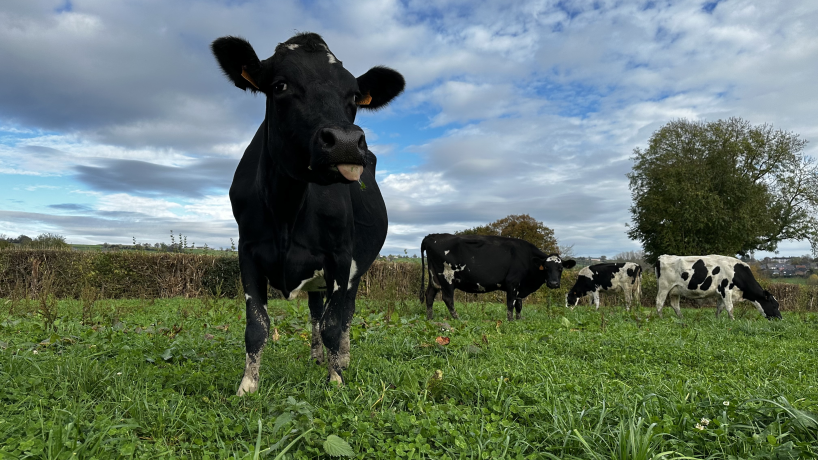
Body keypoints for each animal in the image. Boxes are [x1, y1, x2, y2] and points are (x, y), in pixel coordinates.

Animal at [211, 33, 405, 393]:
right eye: (280, 85)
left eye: (354, 95)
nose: (345, 142)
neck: (286, 209)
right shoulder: (248, 251)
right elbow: (256, 324)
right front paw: (248, 385)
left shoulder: (340, 257)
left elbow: (333, 322)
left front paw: (336, 378)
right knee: (316, 310)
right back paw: (316, 355)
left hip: (357, 267)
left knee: (345, 311)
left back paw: (341, 357)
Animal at [419, 233, 576, 321]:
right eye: (546, 268)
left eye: (560, 268)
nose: (554, 283)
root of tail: (432, 236)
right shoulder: (513, 283)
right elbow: (511, 304)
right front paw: (510, 321)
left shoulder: (520, 287)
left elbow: (519, 305)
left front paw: (519, 320)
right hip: (447, 277)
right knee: (447, 298)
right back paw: (458, 319)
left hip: (434, 278)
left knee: (429, 295)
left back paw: (430, 318)